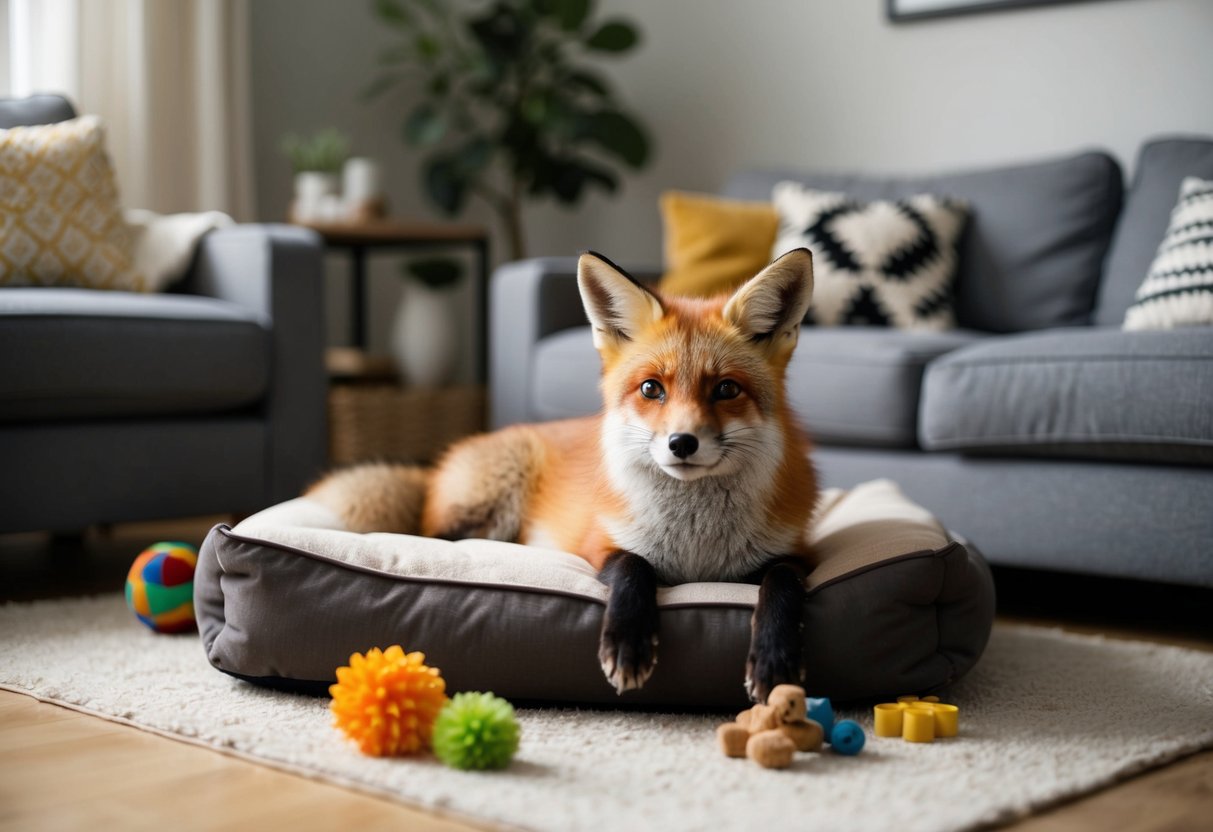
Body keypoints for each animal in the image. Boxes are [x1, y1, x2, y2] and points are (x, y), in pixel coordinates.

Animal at [310, 247, 819, 703]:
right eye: (651, 388)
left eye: (727, 389)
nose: (682, 443)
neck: (697, 552)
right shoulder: (601, 544)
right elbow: (634, 569)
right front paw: (627, 643)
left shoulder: (795, 555)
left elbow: (782, 586)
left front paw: (775, 660)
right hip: (486, 510)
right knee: (430, 537)